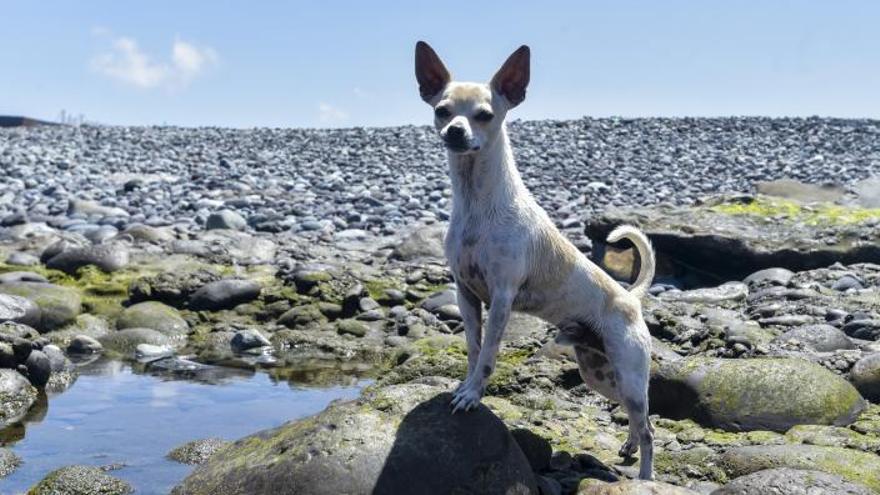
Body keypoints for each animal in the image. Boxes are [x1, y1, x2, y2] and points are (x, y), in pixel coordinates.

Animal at [416, 41, 656, 480]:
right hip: (601, 376)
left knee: (649, 429)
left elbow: (489, 355)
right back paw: (629, 446)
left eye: (484, 115)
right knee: (642, 419)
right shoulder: (466, 294)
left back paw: (646, 477)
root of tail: (631, 298)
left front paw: (473, 395)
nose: (455, 130)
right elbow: (473, 349)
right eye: (442, 109)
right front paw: (464, 386)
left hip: (629, 377)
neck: (477, 202)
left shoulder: (502, 297)